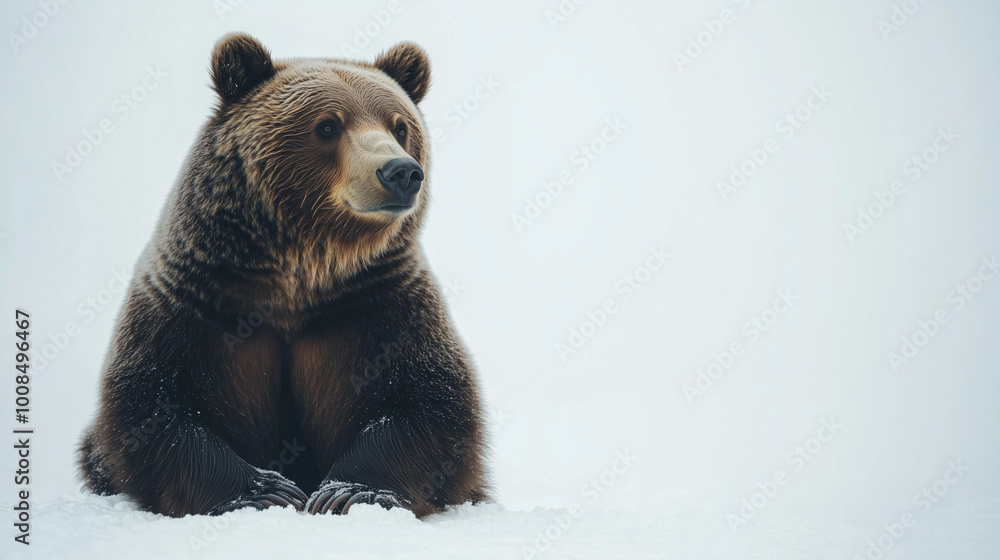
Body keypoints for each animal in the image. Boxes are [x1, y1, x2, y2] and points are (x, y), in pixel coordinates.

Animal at [77, 32, 489, 518]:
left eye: (400, 126)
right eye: (328, 126)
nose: (401, 171)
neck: (300, 271)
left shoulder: (381, 302)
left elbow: (429, 403)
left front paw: (348, 491)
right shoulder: (194, 300)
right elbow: (153, 406)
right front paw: (265, 490)